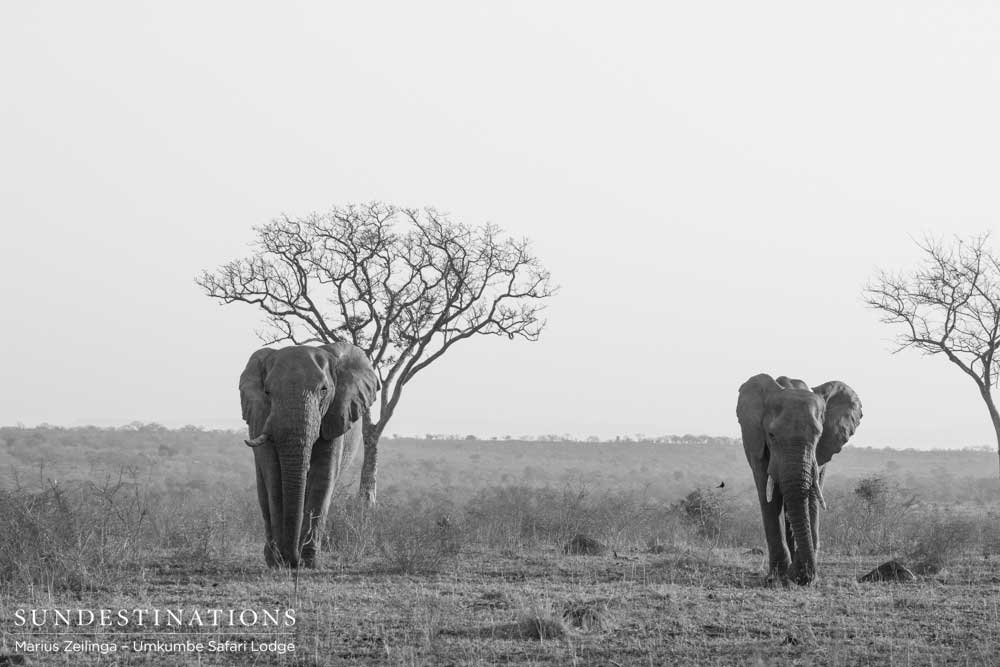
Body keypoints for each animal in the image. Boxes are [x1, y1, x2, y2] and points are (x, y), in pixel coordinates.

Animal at [239, 343, 378, 568]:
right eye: (267, 392)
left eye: (324, 390)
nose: (291, 560)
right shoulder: (260, 417)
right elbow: (273, 476)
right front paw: (278, 562)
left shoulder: (335, 414)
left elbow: (323, 476)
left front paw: (308, 562)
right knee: (263, 488)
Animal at [736, 373, 862, 585]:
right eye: (771, 435)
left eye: (818, 435)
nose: (800, 576)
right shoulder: (756, 443)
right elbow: (769, 498)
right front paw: (777, 577)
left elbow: (810, 496)